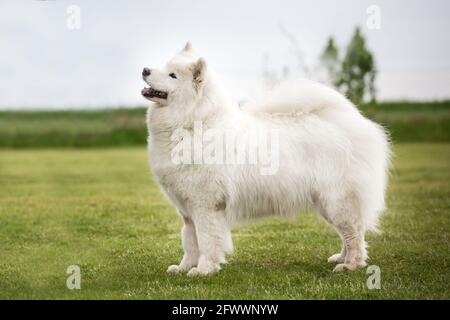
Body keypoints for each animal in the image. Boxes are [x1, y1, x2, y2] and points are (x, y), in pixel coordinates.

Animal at [142, 42, 390, 276]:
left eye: (172, 75)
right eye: (164, 67)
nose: (145, 69)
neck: (192, 124)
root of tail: (351, 121)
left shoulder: (206, 206)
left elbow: (207, 242)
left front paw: (204, 270)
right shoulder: (187, 210)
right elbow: (190, 242)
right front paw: (183, 267)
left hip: (337, 200)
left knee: (354, 233)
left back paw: (350, 265)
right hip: (327, 203)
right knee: (350, 233)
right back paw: (341, 258)